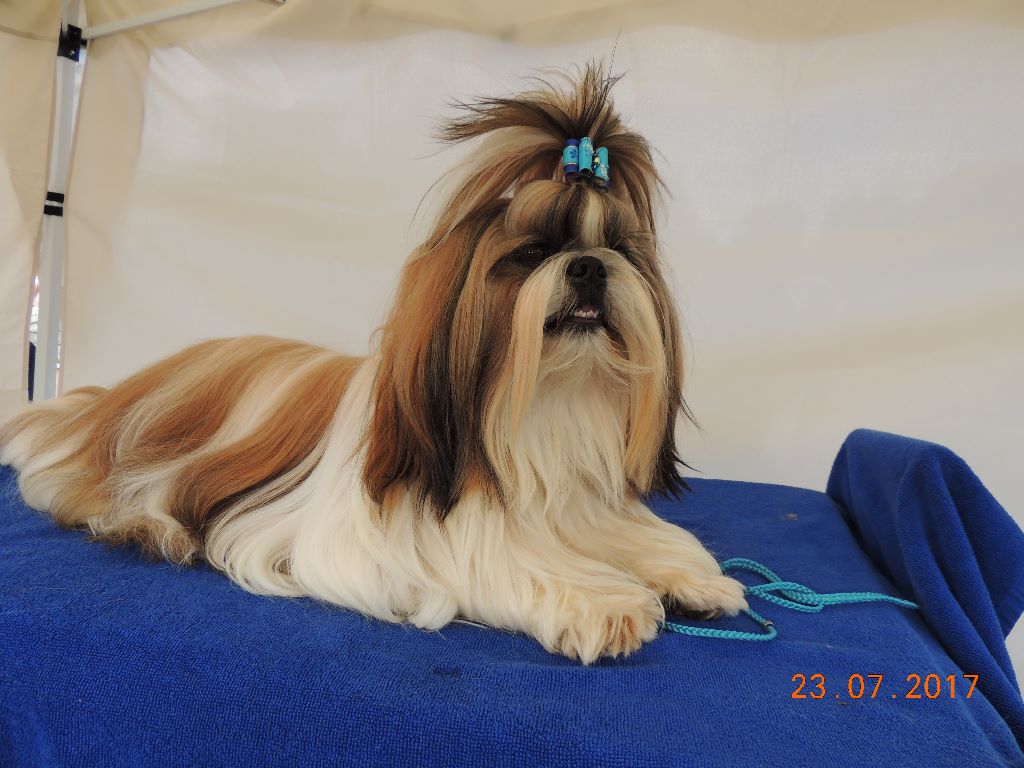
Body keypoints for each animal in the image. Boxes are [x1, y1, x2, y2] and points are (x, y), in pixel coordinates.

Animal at [0, 65, 746, 663]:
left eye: (619, 247)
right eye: (532, 253)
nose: (590, 266)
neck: (544, 404)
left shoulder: (580, 502)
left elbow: (632, 536)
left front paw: (688, 576)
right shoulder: (387, 548)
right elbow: (495, 560)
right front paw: (600, 603)